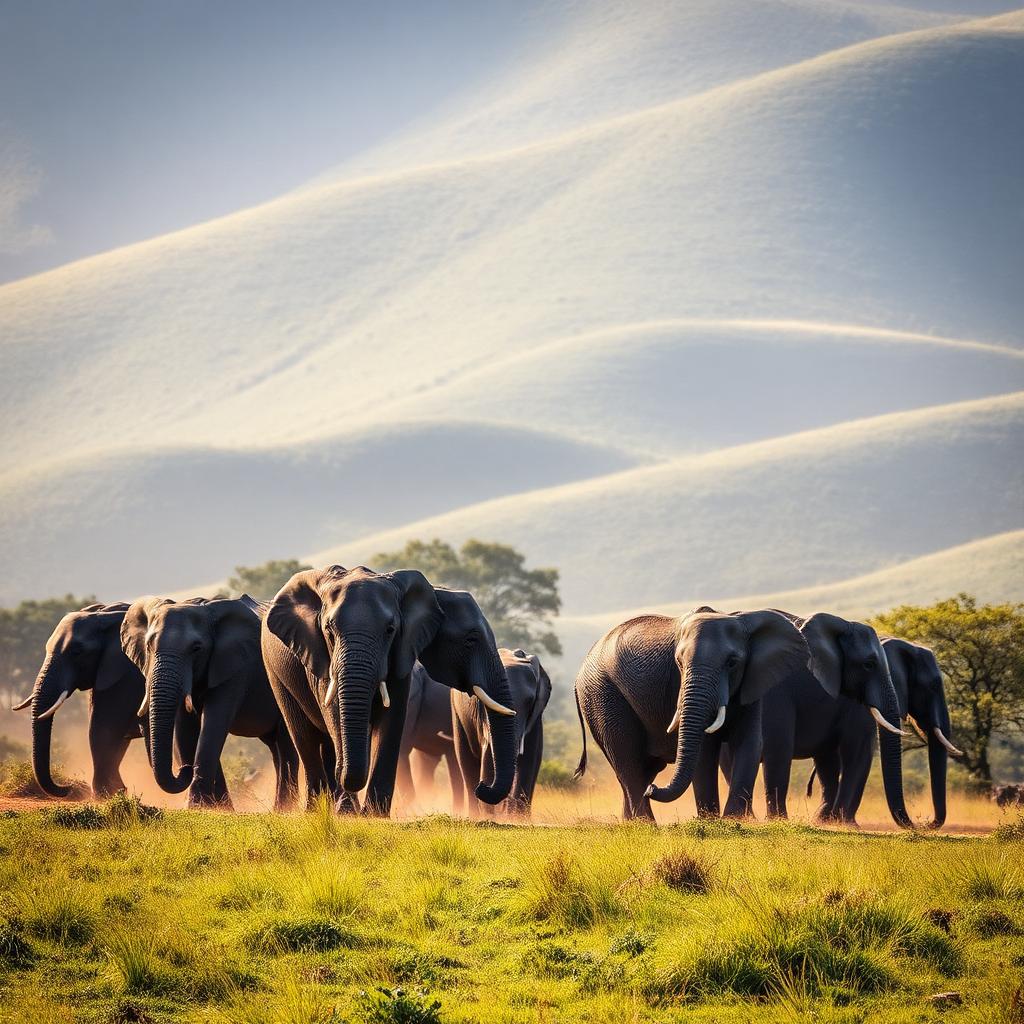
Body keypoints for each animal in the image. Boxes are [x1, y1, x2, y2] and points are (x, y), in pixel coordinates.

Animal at [12, 602, 146, 799]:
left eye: (77, 652)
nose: (69, 787)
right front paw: (116, 792)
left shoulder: (126, 674)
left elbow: (104, 726)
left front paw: (107, 795)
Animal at [121, 595, 298, 810]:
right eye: (149, 646)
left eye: (196, 649)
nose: (185, 768)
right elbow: (186, 728)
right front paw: (219, 809)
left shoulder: (235, 667)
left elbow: (213, 724)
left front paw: (198, 806)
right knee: (275, 746)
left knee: (286, 743)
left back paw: (284, 809)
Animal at [451, 647, 552, 817]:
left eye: (529, 700)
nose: (482, 786)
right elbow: (488, 758)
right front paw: (491, 816)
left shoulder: (536, 718)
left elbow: (530, 759)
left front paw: (517, 819)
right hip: (456, 711)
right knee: (466, 760)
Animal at [574, 607, 809, 821]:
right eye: (678, 662)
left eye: (732, 663)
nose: (653, 789)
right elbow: (704, 751)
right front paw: (711, 820)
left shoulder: (752, 681)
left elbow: (749, 742)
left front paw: (734, 820)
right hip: (602, 695)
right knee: (629, 760)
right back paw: (646, 822)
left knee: (645, 767)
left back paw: (633, 819)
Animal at [729, 612, 913, 829]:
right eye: (868, 664)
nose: (917, 826)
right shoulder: (775, 690)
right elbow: (780, 747)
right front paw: (779, 820)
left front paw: (837, 823)